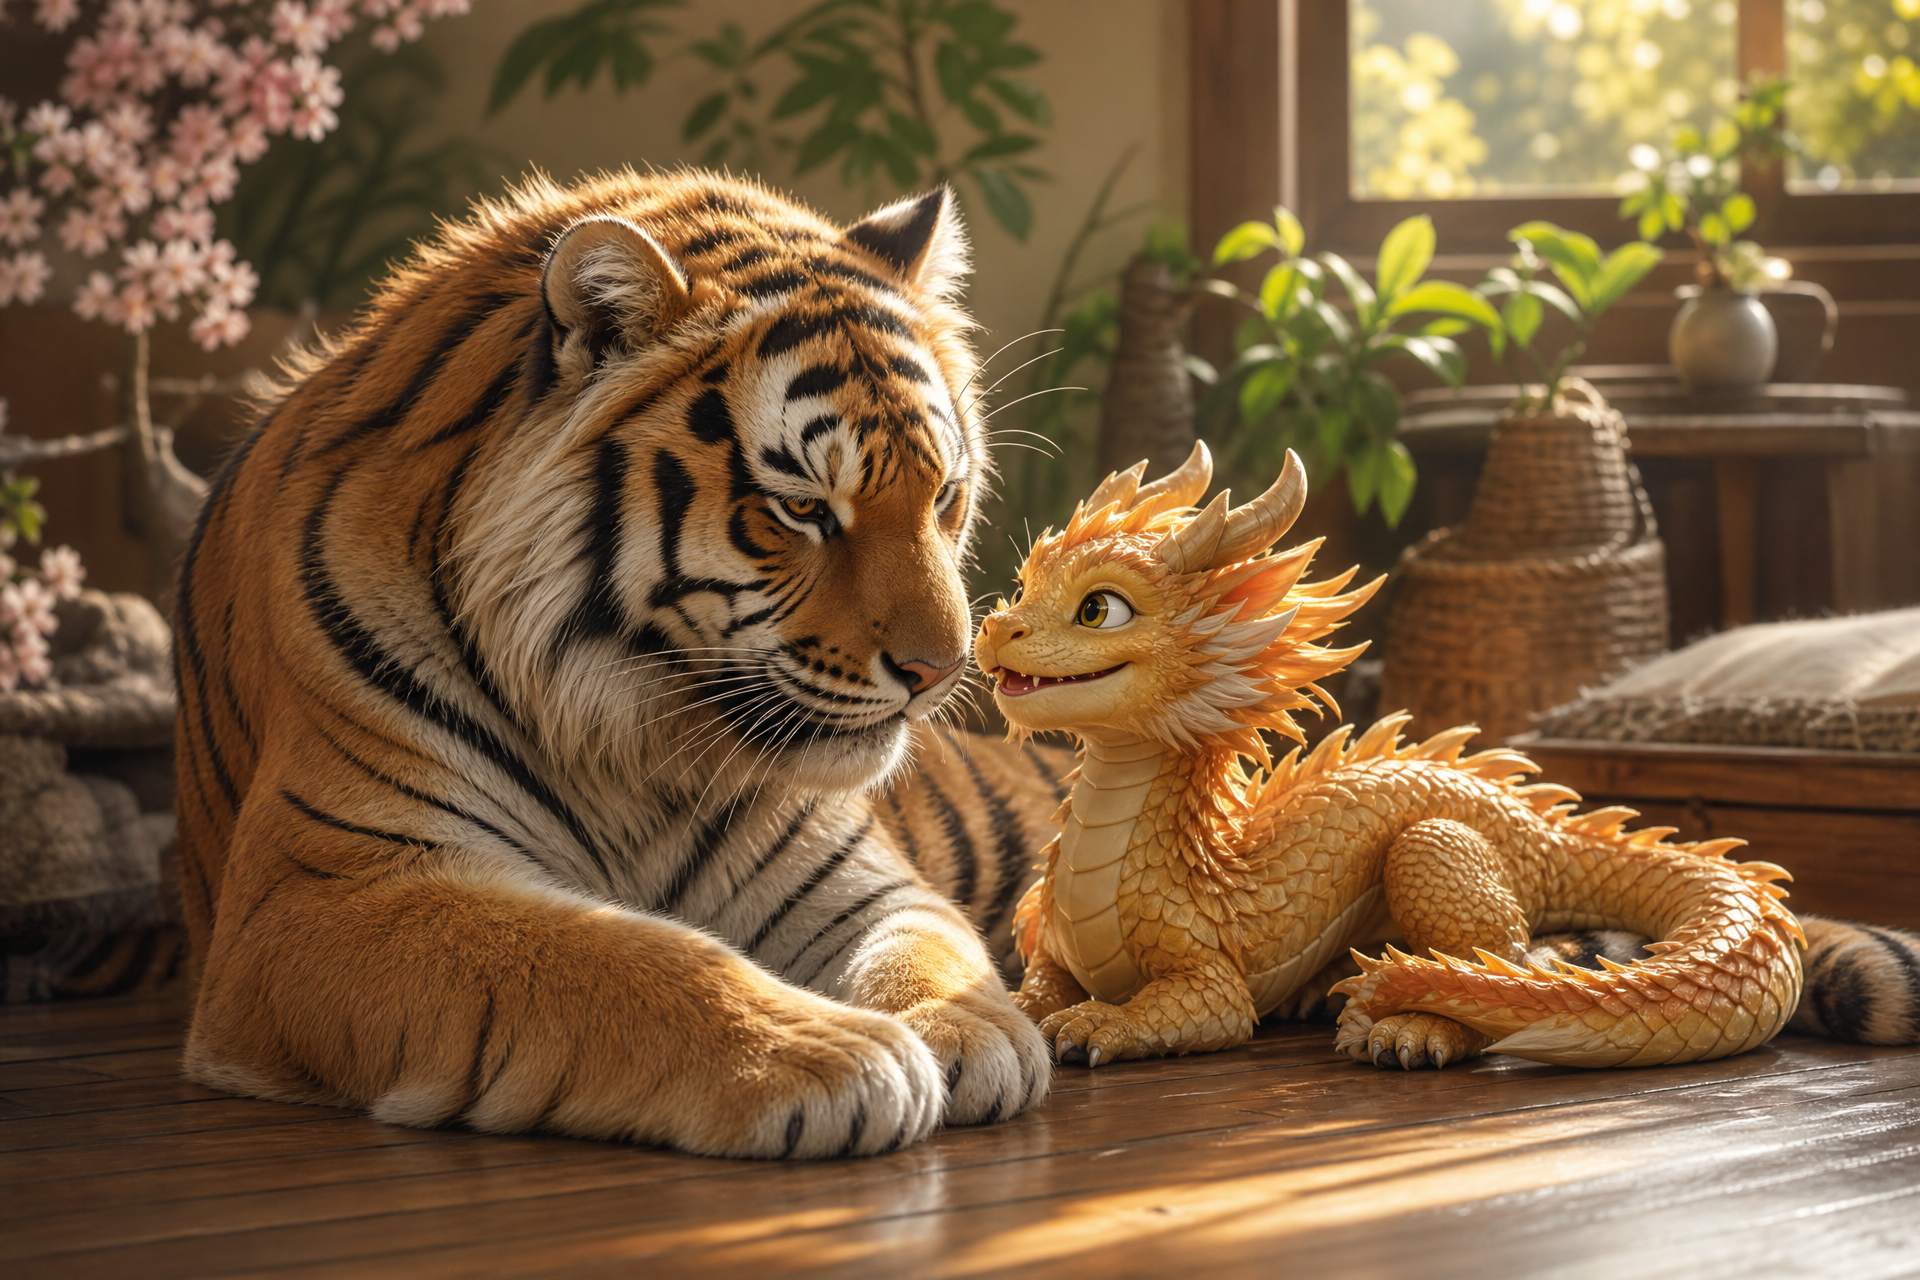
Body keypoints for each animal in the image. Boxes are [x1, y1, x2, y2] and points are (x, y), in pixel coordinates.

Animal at [173, 169, 1067, 1159]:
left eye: (943, 495)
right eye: (800, 509)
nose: (940, 672)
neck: (629, 735)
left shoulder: (845, 877)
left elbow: (927, 941)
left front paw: (969, 1027)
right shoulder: (318, 896)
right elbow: (613, 955)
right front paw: (829, 1052)